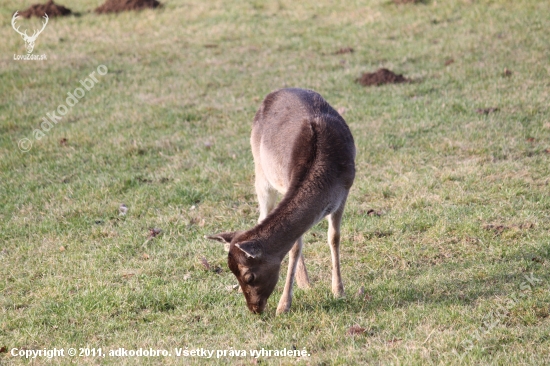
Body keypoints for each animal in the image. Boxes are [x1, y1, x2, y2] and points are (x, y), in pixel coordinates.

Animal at [208, 88, 358, 314]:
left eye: (249, 276)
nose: (254, 309)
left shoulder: (344, 193)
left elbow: (334, 238)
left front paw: (339, 291)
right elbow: (295, 246)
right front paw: (284, 305)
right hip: (261, 171)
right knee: (262, 213)